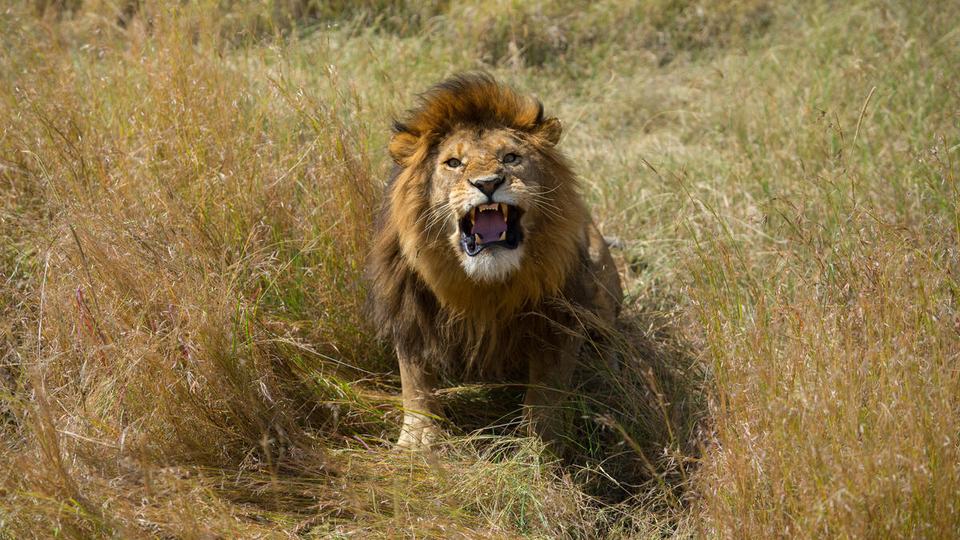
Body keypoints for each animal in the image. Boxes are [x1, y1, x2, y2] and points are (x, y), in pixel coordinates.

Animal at [368, 73, 622, 450]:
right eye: (453, 163)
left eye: (511, 157)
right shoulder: (409, 311)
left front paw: (540, 446)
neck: (485, 285)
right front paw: (418, 441)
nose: (488, 183)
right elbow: (414, 381)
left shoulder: (558, 321)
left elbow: (547, 391)